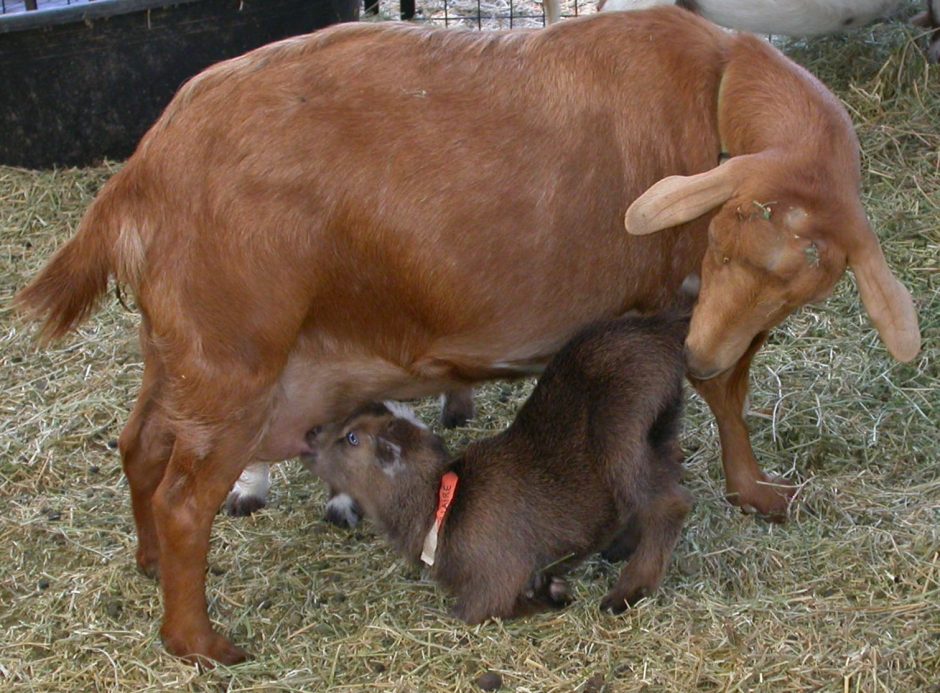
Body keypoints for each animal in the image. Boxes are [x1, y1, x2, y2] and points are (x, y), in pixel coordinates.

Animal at [301, 294, 694, 622]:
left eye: (352, 437)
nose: (309, 435)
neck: (441, 507)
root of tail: (661, 329)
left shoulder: (493, 582)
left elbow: (476, 612)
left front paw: (552, 592)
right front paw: (552, 591)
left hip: (620, 430)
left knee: (670, 503)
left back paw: (626, 592)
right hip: (658, 429)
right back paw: (619, 548)